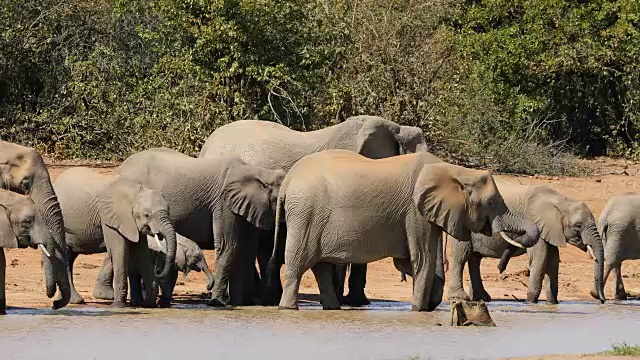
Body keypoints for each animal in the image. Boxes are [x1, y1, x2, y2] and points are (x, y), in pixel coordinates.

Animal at [52, 167, 176, 308]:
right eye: (146, 215)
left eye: (169, 210)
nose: (158, 272)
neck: (135, 192)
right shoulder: (110, 219)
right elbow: (119, 252)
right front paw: (118, 306)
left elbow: (141, 254)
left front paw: (146, 304)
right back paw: (74, 301)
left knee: (70, 257)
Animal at [115, 147, 284, 306]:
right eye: (281, 199)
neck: (259, 172)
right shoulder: (223, 204)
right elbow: (229, 247)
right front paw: (218, 303)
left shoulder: (246, 207)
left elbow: (245, 250)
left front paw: (241, 303)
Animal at [270, 150, 540, 310]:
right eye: (492, 202)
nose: (501, 268)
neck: (454, 170)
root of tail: (288, 181)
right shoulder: (414, 212)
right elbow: (423, 260)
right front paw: (418, 311)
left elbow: (413, 260)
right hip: (305, 216)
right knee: (297, 266)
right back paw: (287, 309)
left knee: (321, 268)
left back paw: (332, 309)